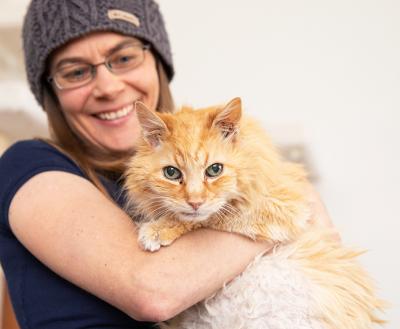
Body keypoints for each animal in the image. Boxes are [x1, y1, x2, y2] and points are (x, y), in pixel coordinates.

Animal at [124, 97, 384, 328]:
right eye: (171, 173)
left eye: (214, 170)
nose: (195, 202)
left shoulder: (283, 207)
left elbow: (214, 217)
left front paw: (157, 230)